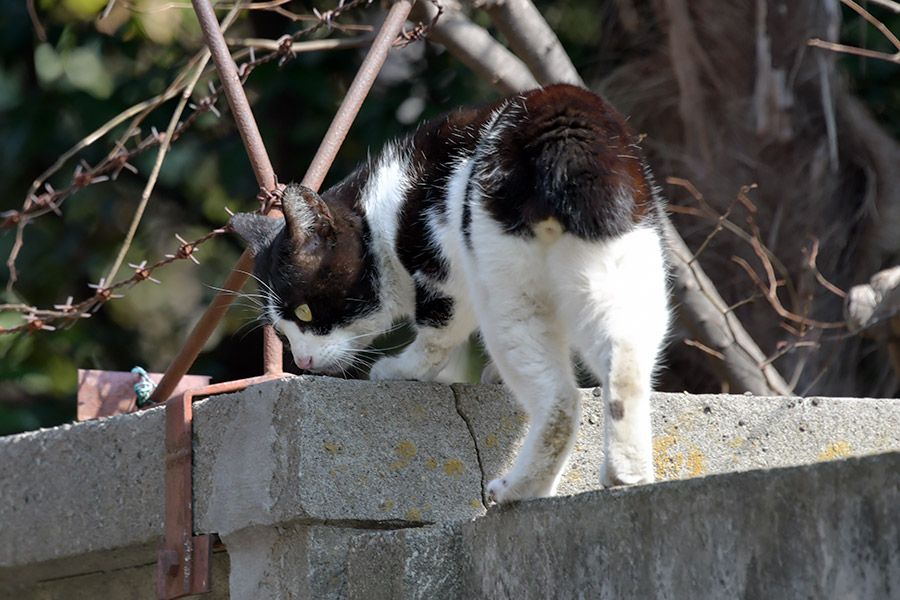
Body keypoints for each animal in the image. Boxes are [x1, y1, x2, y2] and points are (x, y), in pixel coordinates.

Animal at [230, 82, 668, 502]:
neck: (380, 214)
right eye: (280, 330)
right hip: (630, 271)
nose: (301, 361)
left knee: (560, 401)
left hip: (503, 288)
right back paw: (628, 473)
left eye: (304, 312)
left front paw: (400, 370)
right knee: (626, 363)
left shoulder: (440, 270)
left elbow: (438, 334)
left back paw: (520, 490)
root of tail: (566, 131)